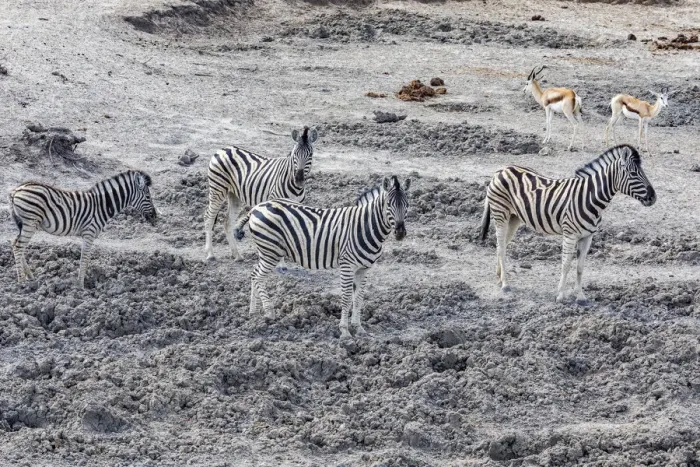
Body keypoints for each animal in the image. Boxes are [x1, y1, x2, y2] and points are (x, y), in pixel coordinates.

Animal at [9, 170, 157, 288]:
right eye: (148, 197)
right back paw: (22, 282)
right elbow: (84, 259)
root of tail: (16, 190)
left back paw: (30, 276)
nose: (155, 217)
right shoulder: (89, 233)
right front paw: (81, 286)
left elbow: (85, 258)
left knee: (15, 244)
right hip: (30, 221)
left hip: (24, 223)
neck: (102, 206)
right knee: (18, 247)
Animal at [203, 126, 318, 262]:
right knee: (209, 218)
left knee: (227, 223)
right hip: (218, 189)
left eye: (310, 155)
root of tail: (222, 149)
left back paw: (237, 255)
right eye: (295, 154)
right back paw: (210, 254)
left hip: (234, 195)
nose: (299, 179)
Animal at [234, 175, 410, 339]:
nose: (400, 233)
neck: (365, 227)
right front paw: (345, 332)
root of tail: (256, 208)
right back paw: (269, 313)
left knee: (254, 274)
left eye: (407, 205)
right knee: (258, 277)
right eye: (388, 204)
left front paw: (359, 328)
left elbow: (359, 298)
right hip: (271, 251)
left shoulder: (364, 268)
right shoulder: (347, 265)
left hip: (265, 252)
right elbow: (347, 298)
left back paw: (253, 312)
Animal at [480, 144, 656, 304]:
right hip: (500, 214)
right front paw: (560, 295)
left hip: (514, 217)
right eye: (633, 173)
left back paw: (499, 277)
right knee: (501, 247)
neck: (589, 198)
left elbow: (580, 267)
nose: (653, 198)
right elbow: (566, 264)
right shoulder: (570, 234)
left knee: (501, 245)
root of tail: (502, 168)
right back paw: (505, 284)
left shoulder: (587, 237)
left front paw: (580, 296)